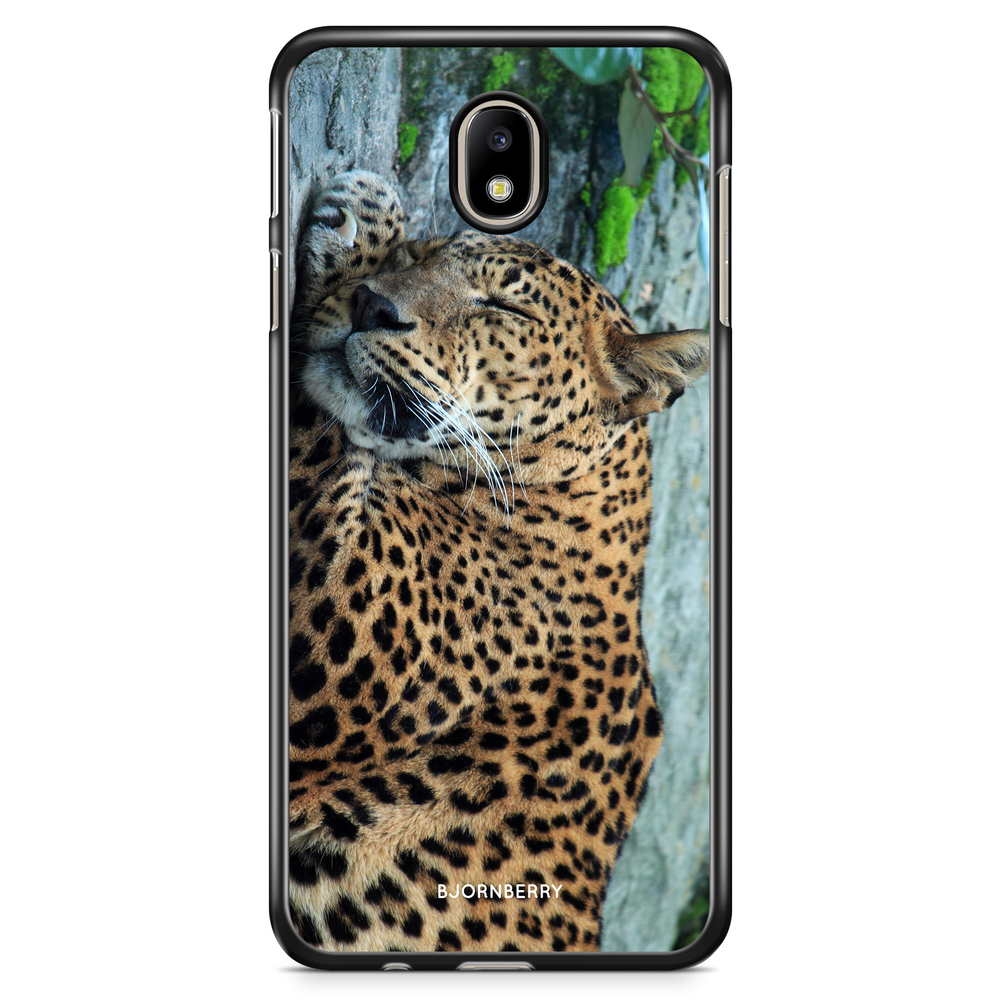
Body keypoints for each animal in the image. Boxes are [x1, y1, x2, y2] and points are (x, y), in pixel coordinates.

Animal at [286, 171, 709, 953]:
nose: (373, 306)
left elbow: (320, 427)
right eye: (425, 254)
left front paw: (361, 215)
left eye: (503, 306)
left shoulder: (340, 616)